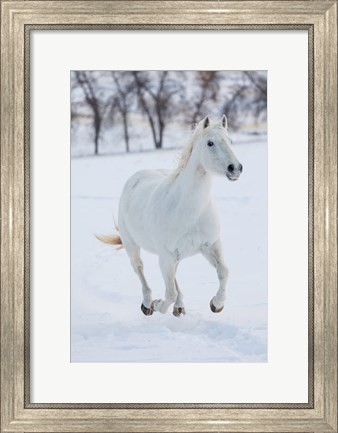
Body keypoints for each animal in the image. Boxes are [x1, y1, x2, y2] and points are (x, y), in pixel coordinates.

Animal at [97, 115, 243, 318]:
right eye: (210, 143)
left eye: (230, 141)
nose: (235, 168)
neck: (191, 211)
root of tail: (136, 177)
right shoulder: (167, 256)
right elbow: (170, 293)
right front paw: (158, 305)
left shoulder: (211, 246)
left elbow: (224, 272)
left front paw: (216, 304)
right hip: (133, 246)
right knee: (139, 268)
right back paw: (148, 303)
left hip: (174, 257)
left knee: (173, 279)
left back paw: (179, 307)